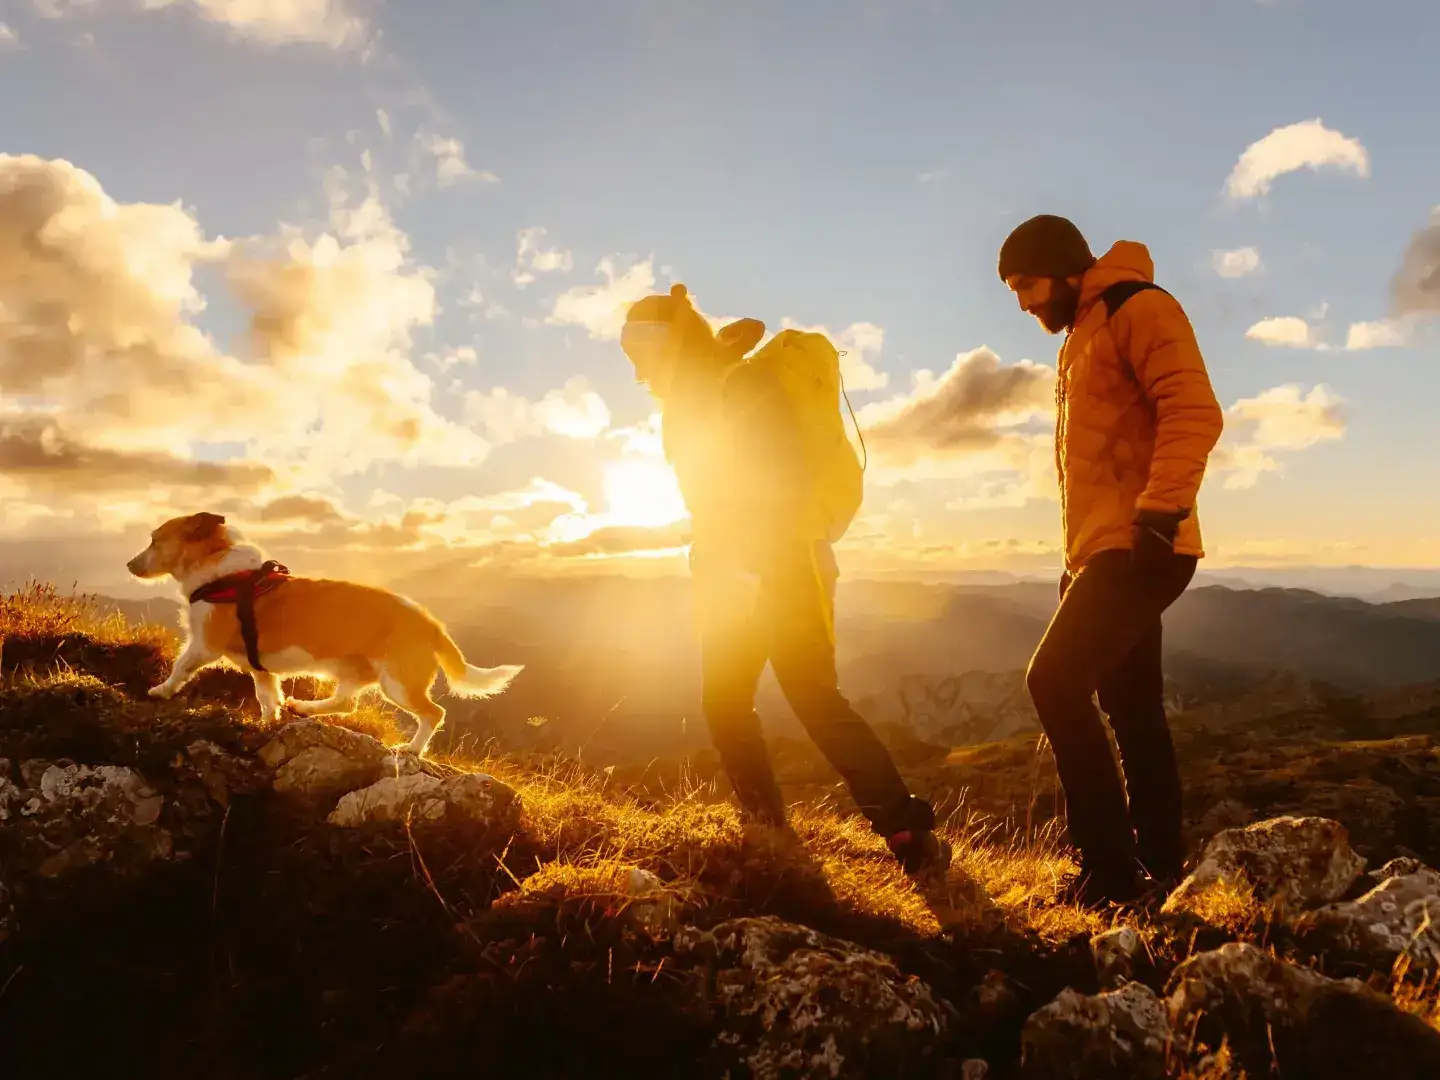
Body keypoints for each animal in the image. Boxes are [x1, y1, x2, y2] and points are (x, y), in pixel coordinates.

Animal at [128, 512, 524, 754]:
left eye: (154, 539)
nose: (129, 565)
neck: (221, 572)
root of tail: (430, 622)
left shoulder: (203, 644)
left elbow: (180, 668)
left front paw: (161, 690)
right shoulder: (260, 666)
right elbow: (266, 695)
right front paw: (268, 722)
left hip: (397, 681)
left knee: (433, 713)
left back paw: (412, 749)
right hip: (352, 670)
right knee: (346, 703)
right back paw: (304, 706)